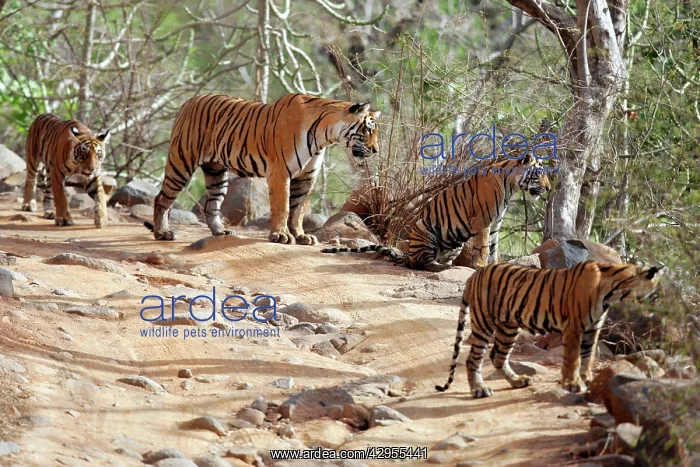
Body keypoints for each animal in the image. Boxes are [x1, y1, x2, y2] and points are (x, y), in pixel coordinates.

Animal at [144, 93, 381, 244]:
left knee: (212, 205)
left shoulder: (307, 177)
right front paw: (281, 236)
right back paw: (162, 233)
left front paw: (301, 236)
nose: (376, 150)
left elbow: (299, 210)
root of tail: (189, 101)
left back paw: (221, 232)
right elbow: (283, 207)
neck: (325, 136)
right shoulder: (280, 173)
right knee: (161, 198)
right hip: (182, 163)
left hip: (216, 172)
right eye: (369, 130)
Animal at [322, 154, 551, 271]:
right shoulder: (482, 223)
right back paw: (441, 268)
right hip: (425, 229)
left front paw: (495, 266)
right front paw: (480, 266)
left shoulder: (495, 224)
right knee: (422, 263)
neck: (510, 185)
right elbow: (484, 248)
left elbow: (494, 248)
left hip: (455, 241)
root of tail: (407, 255)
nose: (549, 188)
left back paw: (447, 264)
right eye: (539, 173)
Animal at [435, 261, 666, 398]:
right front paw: (572, 384)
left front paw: (589, 379)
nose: (662, 308)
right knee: (473, 359)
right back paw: (479, 389)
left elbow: (588, 356)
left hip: (508, 327)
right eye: (656, 292)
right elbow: (573, 358)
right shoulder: (575, 326)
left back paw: (518, 381)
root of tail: (473, 275)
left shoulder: (592, 328)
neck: (614, 292)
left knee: (498, 356)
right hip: (484, 323)